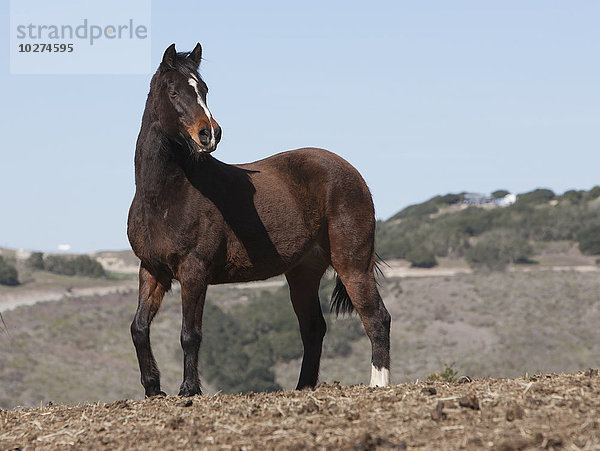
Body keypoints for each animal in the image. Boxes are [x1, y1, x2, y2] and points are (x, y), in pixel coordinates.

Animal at [126, 41, 392, 396]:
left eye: (204, 89)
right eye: (172, 91)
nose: (210, 134)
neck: (166, 195)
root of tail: (352, 173)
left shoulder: (194, 271)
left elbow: (190, 334)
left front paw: (189, 390)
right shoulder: (152, 270)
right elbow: (139, 327)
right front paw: (153, 389)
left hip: (353, 264)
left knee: (376, 317)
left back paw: (379, 384)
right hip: (303, 273)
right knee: (313, 328)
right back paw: (303, 387)